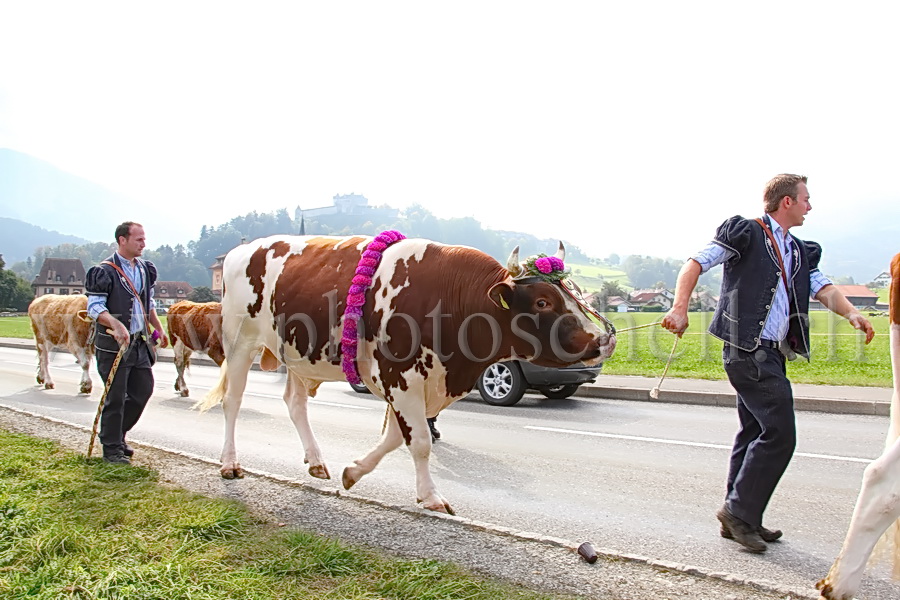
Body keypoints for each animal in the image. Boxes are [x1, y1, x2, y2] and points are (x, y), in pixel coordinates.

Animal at [200, 233, 616, 510]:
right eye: (543, 301)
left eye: (574, 291)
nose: (603, 339)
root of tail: (240, 249)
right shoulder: (401, 377)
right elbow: (419, 442)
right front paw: (430, 496)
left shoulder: (415, 383)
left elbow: (396, 437)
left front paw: (354, 471)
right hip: (240, 342)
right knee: (233, 401)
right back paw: (229, 463)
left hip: (298, 356)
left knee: (294, 403)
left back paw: (316, 461)